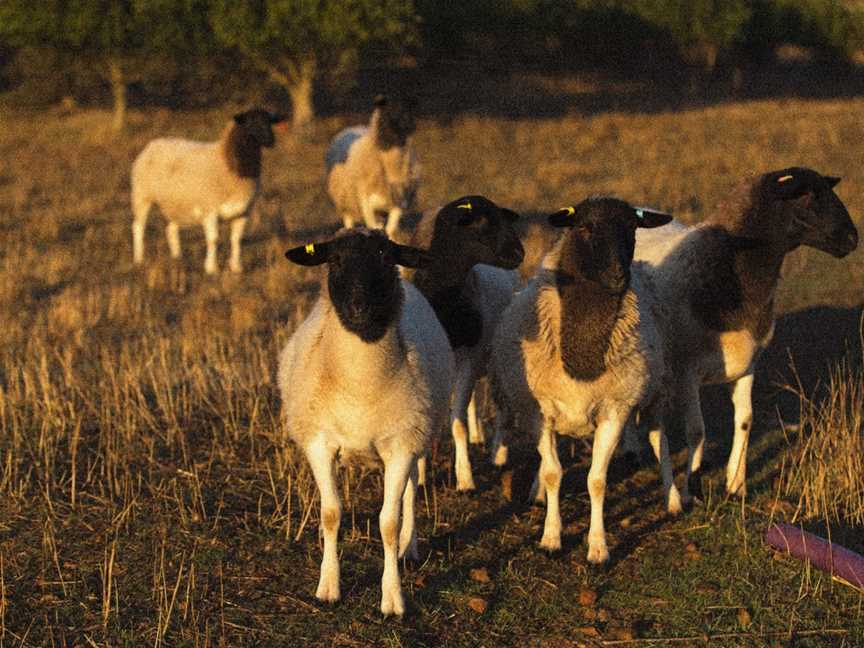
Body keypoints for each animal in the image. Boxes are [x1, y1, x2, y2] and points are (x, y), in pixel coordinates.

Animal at [278, 228, 456, 616]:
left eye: (386, 257)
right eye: (335, 259)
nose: (359, 307)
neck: (360, 385)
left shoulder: (402, 444)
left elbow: (388, 523)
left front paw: (392, 599)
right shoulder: (320, 443)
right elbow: (331, 513)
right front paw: (328, 587)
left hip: (420, 431)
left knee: (411, 489)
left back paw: (409, 547)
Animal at [324, 93, 418, 238]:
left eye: (408, 111)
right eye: (389, 112)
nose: (410, 126)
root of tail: (353, 127)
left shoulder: (401, 199)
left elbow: (390, 228)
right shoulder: (364, 197)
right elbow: (372, 219)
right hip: (345, 199)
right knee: (349, 220)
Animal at [628, 167, 856, 502]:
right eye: (806, 196)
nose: (853, 238)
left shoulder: (748, 363)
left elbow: (745, 421)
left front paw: (737, 484)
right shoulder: (687, 372)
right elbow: (697, 430)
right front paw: (693, 487)